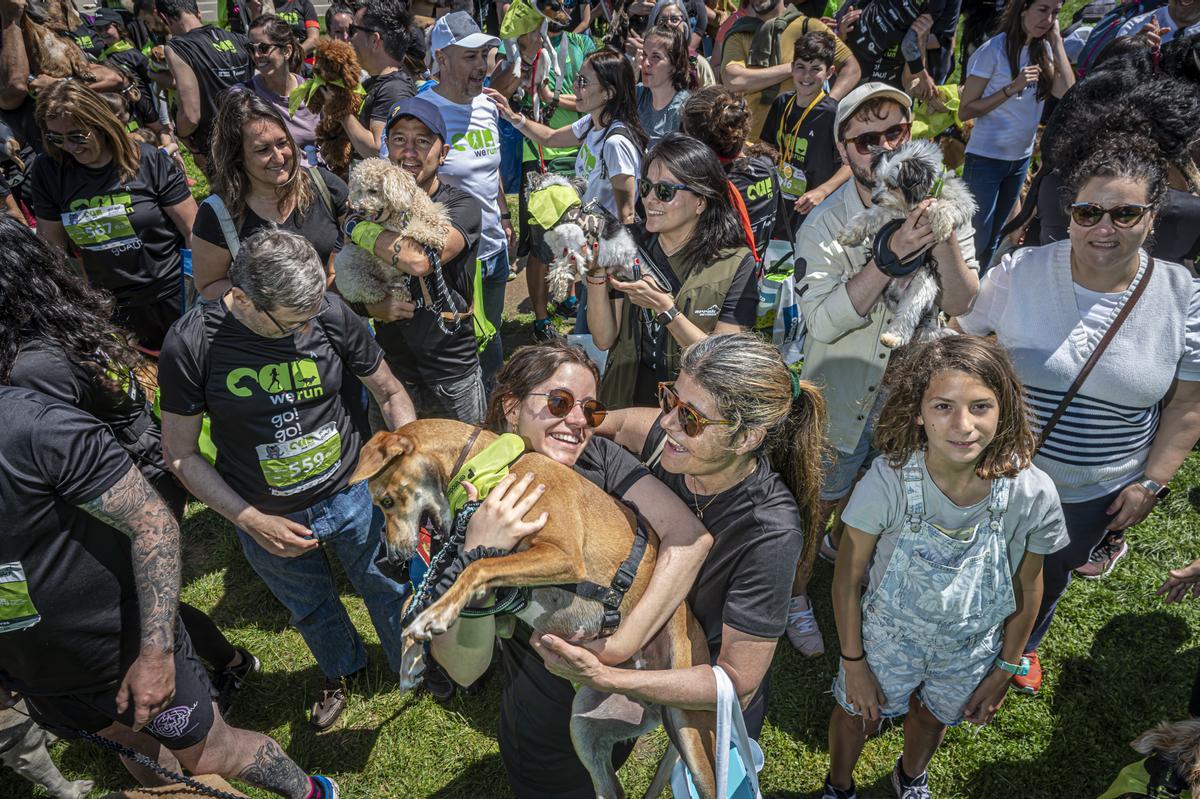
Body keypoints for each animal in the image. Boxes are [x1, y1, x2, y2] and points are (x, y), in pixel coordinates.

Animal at [333, 158, 451, 304]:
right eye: (358, 191)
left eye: (373, 190)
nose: (359, 210)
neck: (398, 213)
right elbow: (412, 228)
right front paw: (432, 235)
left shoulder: (424, 205)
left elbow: (434, 213)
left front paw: (438, 225)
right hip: (351, 272)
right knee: (376, 288)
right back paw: (392, 291)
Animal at [840, 139, 979, 347]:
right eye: (877, 181)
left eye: (892, 185)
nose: (874, 198)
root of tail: (894, 294)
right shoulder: (892, 211)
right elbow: (870, 215)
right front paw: (848, 233)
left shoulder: (962, 201)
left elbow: (946, 205)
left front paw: (941, 223)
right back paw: (853, 274)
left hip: (923, 282)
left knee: (907, 315)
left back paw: (893, 337)